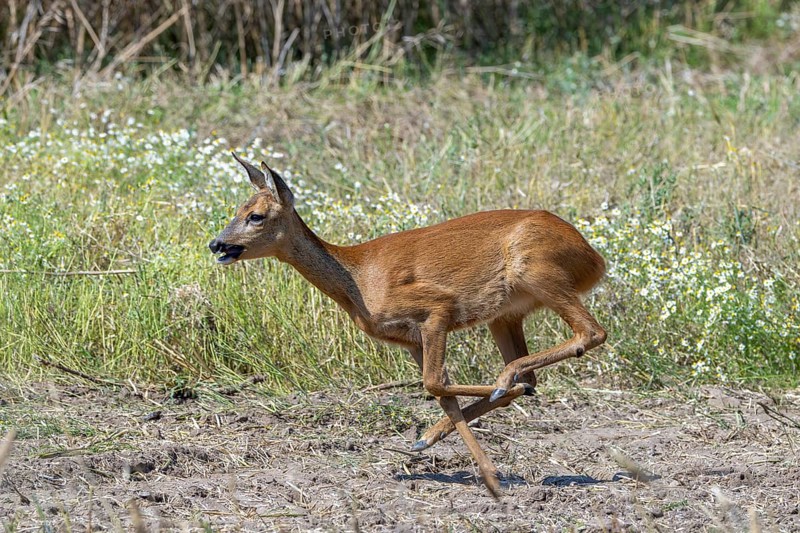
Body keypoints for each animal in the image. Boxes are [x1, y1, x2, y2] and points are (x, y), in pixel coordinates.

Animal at [209, 153, 607, 497]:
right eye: (238, 209)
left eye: (256, 215)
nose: (217, 244)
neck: (357, 279)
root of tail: (594, 258)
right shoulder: (411, 339)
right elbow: (442, 391)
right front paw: (485, 474)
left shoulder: (437, 308)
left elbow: (433, 382)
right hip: (506, 315)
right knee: (534, 375)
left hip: (539, 274)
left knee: (592, 332)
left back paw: (505, 381)